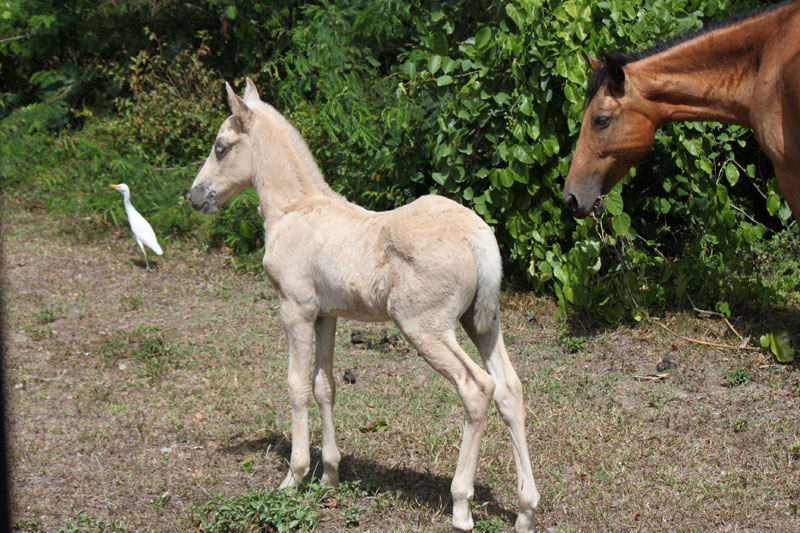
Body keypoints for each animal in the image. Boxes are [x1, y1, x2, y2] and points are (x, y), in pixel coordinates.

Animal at [188, 80, 536, 532]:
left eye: (221, 147)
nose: (195, 196)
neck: (294, 210)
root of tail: (476, 235)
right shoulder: (327, 315)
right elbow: (324, 385)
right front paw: (330, 476)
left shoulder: (295, 309)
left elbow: (296, 385)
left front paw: (294, 477)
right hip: (482, 322)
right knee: (509, 388)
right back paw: (526, 508)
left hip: (425, 327)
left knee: (477, 388)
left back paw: (461, 506)